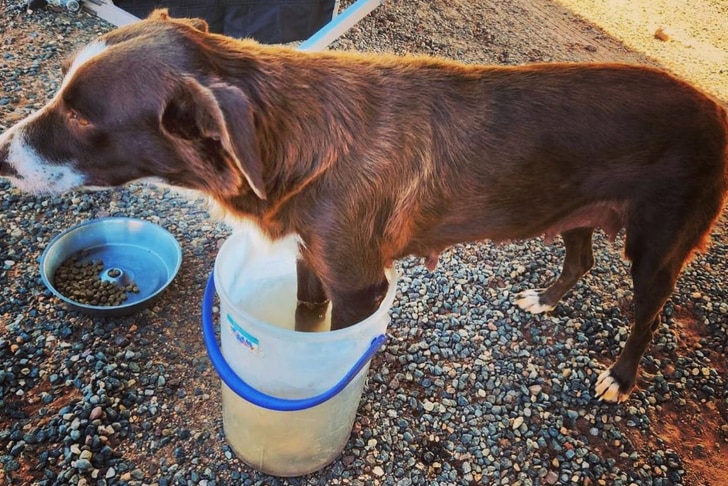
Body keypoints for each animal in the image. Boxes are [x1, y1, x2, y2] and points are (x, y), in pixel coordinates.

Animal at [1, 10, 728, 402]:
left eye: (83, 116)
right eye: (61, 91)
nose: (3, 152)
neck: (288, 137)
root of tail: (714, 107)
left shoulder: (360, 285)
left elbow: (334, 344)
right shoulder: (309, 259)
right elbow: (303, 319)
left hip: (656, 243)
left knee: (649, 312)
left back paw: (622, 377)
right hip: (573, 206)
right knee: (579, 258)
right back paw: (546, 300)